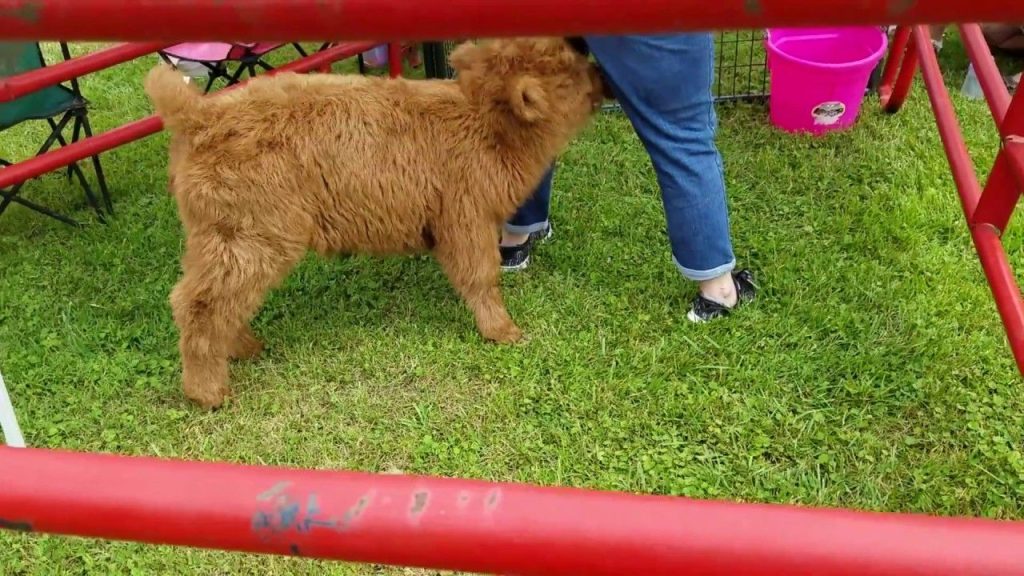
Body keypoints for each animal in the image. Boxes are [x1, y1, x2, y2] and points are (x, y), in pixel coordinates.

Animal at [144, 38, 606, 405]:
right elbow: (481, 276)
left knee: (214, 298)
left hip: (220, 238)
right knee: (200, 303)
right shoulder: (466, 217)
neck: (485, 124)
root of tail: (200, 117)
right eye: (568, 68)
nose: (600, 70)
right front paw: (503, 330)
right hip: (250, 237)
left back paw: (244, 346)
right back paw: (209, 392)